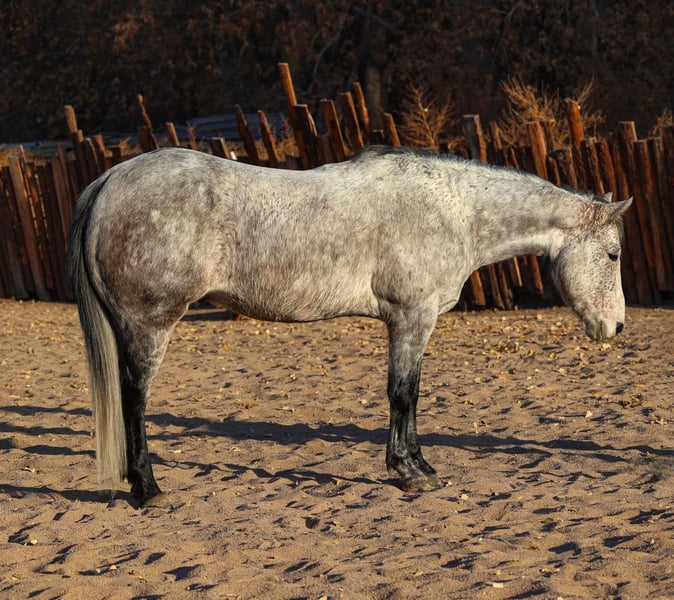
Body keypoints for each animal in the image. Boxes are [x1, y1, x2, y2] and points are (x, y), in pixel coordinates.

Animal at [67, 145, 631, 506]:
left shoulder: (413, 322)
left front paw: (420, 464)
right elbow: (402, 393)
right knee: (134, 399)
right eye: (613, 253)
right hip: (149, 326)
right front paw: (407, 472)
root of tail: (110, 181)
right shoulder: (411, 317)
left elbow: (412, 394)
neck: (452, 211)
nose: (616, 327)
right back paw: (148, 489)